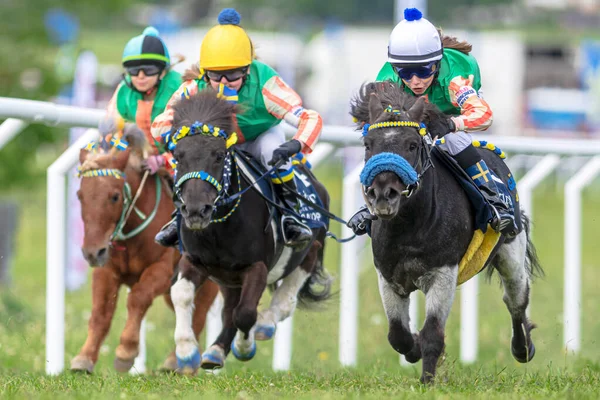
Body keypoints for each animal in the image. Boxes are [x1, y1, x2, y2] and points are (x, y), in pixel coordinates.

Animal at [70, 130, 219, 374]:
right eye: (80, 195)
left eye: (114, 196)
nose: (92, 252)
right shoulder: (106, 270)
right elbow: (101, 312)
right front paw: (84, 358)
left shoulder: (161, 269)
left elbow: (137, 298)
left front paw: (126, 351)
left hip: (207, 282)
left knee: (198, 315)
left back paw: (182, 362)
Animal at [166, 90, 330, 372]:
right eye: (178, 156)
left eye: (219, 155)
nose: (196, 210)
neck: (219, 230)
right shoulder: (194, 260)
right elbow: (182, 294)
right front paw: (187, 353)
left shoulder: (257, 266)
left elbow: (245, 314)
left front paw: (245, 347)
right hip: (228, 278)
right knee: (230, 308)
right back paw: (215, 352)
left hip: (309, 247)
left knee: (286, 298)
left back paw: (265, 324)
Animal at [352, 82, 544, 384]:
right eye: (368, 144)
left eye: (412, 144)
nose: (383, 194)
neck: (410, 226)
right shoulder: (388, 275)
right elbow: (397, 334)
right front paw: (414, 348)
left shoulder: (442, 273)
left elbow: (433, 333)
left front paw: (427, 381)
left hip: (511, 250)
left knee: (516, 301)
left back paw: (523, 347)